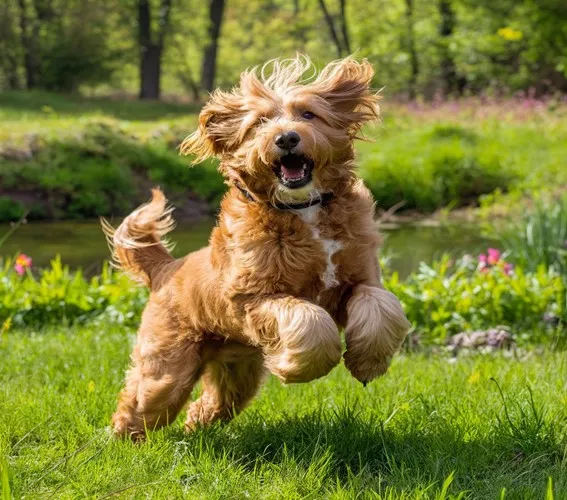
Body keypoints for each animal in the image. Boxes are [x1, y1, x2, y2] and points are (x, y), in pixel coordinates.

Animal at [102, 55, 410, 442]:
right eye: (259, 122)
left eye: (308, 114)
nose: (286, 137)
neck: (302, 209)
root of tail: (166, 269)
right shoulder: (254, 297)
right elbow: (309, 320)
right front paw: (298, 368)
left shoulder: (361, 279)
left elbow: (380, 307)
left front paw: (367, 363)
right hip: (168, 369)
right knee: (137, 403)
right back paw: (121, 443)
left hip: (237, 370)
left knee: (209, 403)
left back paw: (195, 429)